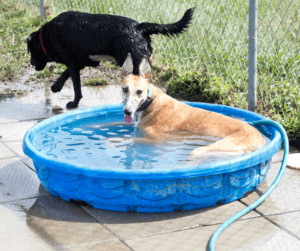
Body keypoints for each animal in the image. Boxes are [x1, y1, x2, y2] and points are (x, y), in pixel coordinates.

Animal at [28, 7, 195, 108]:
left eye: (30, 51)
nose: (30, 63)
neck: (47, 36)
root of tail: (139, 26)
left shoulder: (73, 63)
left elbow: (76, 87)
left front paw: (74, 104)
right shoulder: (80, 61)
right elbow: (65, 74)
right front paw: (56, 86)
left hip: (134, 64)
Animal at [119, 54, 264, 158]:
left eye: (139, 92)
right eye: (125, 89)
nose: (127, 112)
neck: (151, 103)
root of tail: (260, 139)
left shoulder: (157, 140)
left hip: (204, 149)